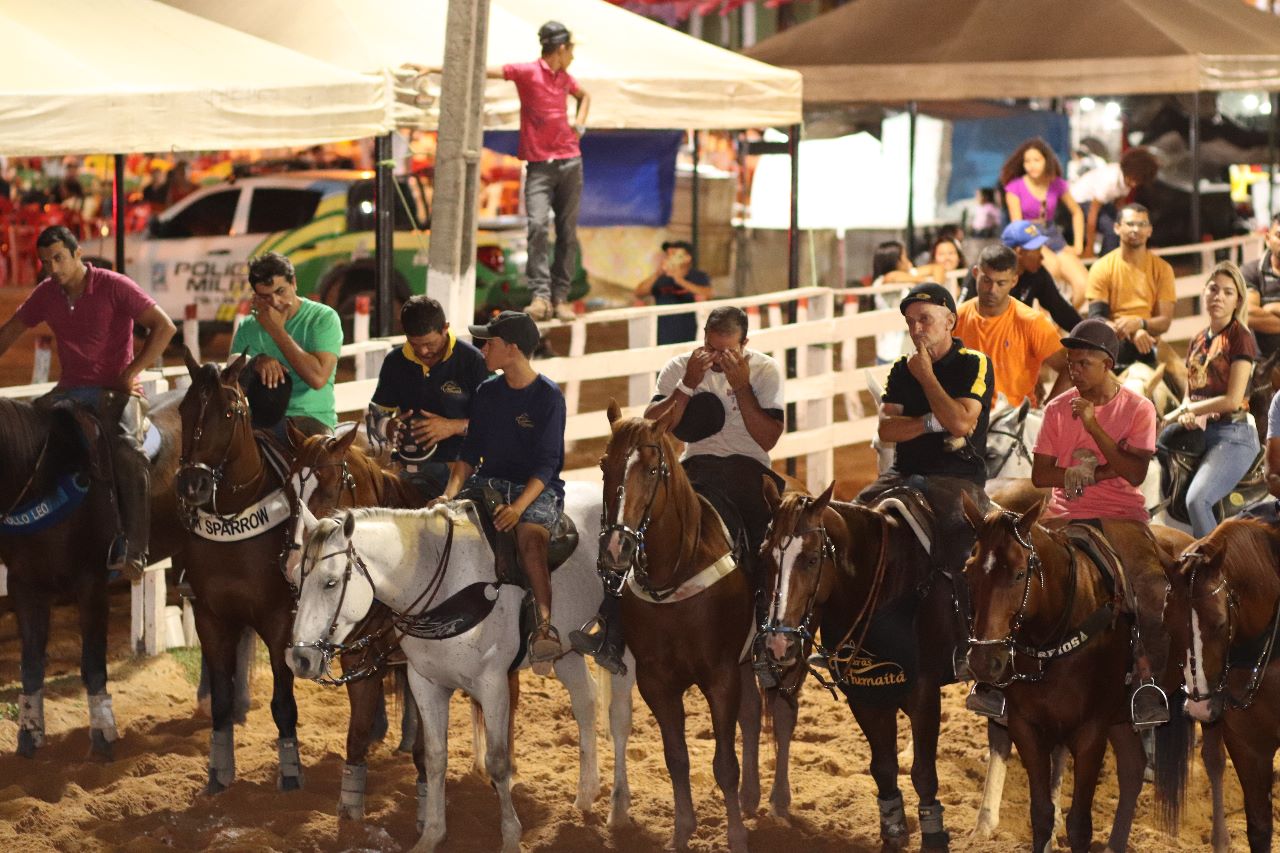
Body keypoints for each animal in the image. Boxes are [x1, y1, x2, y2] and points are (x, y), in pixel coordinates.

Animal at [3, 386, 185, 760]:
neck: (44, 476)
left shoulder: (92, 585)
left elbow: (92, 663)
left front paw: (103, 734)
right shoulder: (24, 585)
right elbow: (31, 665)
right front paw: (29, 735)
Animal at [175, 352, 304, 793]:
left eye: (229, 413)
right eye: (183, 410)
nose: (192, 483)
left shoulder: (280, 621)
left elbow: (283, 703)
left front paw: (290, 774)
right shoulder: (211, 618)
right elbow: (221, 701)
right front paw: (218, 774)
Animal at [288, 483, 636, 853]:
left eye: (330, 582)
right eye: (298, 580)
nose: (300, 658)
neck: (443, 586)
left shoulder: (493, 684)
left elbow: (497, 762)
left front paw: (510, 837)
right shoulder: (424, 682)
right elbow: (435, 758)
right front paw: (431, 835)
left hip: (622, 652)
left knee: (618, 720)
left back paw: (618, 809)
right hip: (566, 653)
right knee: (585, 703)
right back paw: (584, 797)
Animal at [755, 480, 971, 849]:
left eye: (812, 559)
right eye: (765, 556)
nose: (778, 644)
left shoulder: (925, 695)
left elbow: (923, 773)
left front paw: (933, 838)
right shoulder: (864, 696)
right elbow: (883, 767)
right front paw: (893, 832)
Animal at [961, 494, 1151, 853]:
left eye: (1020, 573)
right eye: (969, 571)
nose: (984, 660)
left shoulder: (1092, 732)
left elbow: (1079, 824)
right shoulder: (1026, 727)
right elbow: (1041, 814)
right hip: (1120, 718)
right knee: (1133, 766)